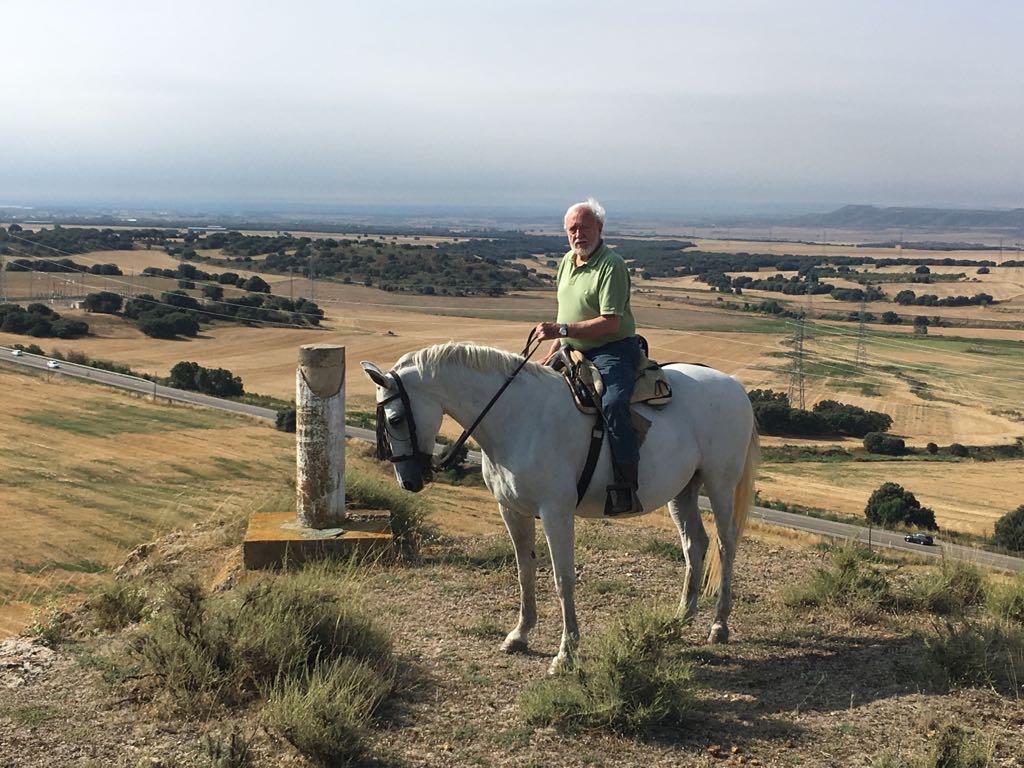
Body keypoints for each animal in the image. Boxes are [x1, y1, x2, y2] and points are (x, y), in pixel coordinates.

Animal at [361, 341, 759, 674]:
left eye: (395, 419)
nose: (408, 481)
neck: (517, 417)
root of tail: (734, 387)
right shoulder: (512, 510)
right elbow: (524, 570)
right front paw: (519, 635)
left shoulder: (556, 513)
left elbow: (563, 577)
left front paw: (566, 653)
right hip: (683, 491)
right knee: (695, 544)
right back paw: (680, 618)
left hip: (720, 485)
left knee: (725, 545)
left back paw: (719, 625)